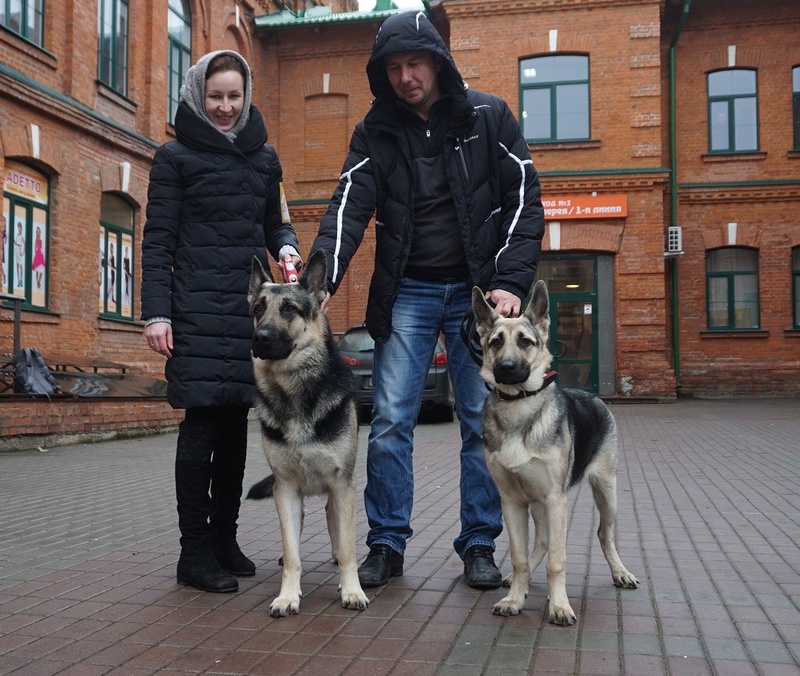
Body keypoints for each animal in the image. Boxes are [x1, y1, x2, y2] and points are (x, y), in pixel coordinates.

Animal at [247, 250, 368, 616]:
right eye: (258, 309)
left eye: (289, 308)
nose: (260, 337)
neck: (295, 391)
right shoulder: (285, 489)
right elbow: (293, 556)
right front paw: (288, 595)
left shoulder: (342, 486)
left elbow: (348, 547)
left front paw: (351, 590)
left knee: (336, 530)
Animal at [472, 278, 640, 624]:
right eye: (495, 342)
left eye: (525, 341)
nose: (506, 368)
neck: (519, 408)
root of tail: (593, 396)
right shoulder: (512, 502)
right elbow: (520, 557)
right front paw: (515, 598)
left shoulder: (555, 500)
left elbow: (558, 561)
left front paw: (560, 605)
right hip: (537, 503)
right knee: (544, 541)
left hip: (605, 493)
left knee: (604, 534)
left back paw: (620, 573)